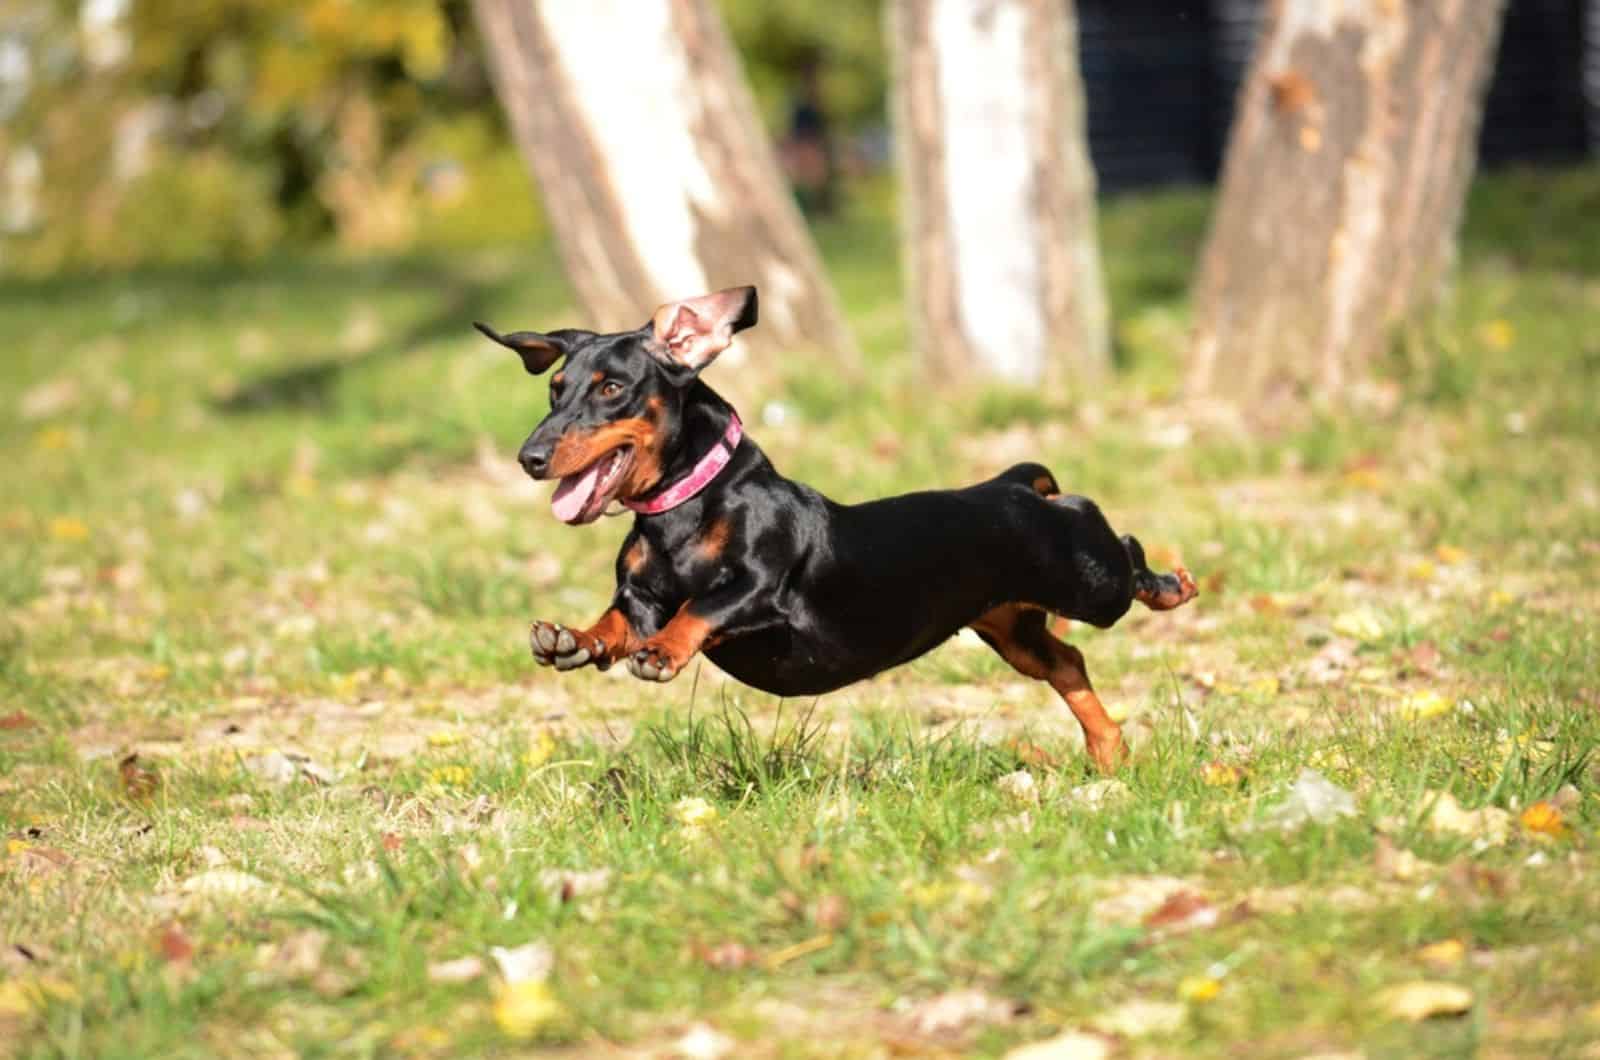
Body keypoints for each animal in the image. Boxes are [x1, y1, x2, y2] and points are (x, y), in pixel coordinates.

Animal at [476, 288, 1203, 771]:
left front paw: (662, 653)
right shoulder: (640, 600)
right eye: (555, 390)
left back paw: (1171, 587)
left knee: (1120, 552)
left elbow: (703, 606)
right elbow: (616, 623)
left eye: (609, 389)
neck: (684, 508)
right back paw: (1108, 750)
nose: (529, 458)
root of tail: (1012, 484)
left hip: (1088, 582)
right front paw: (570, 640)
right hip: (1009, 628)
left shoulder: (764, 590)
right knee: (1068, 661)